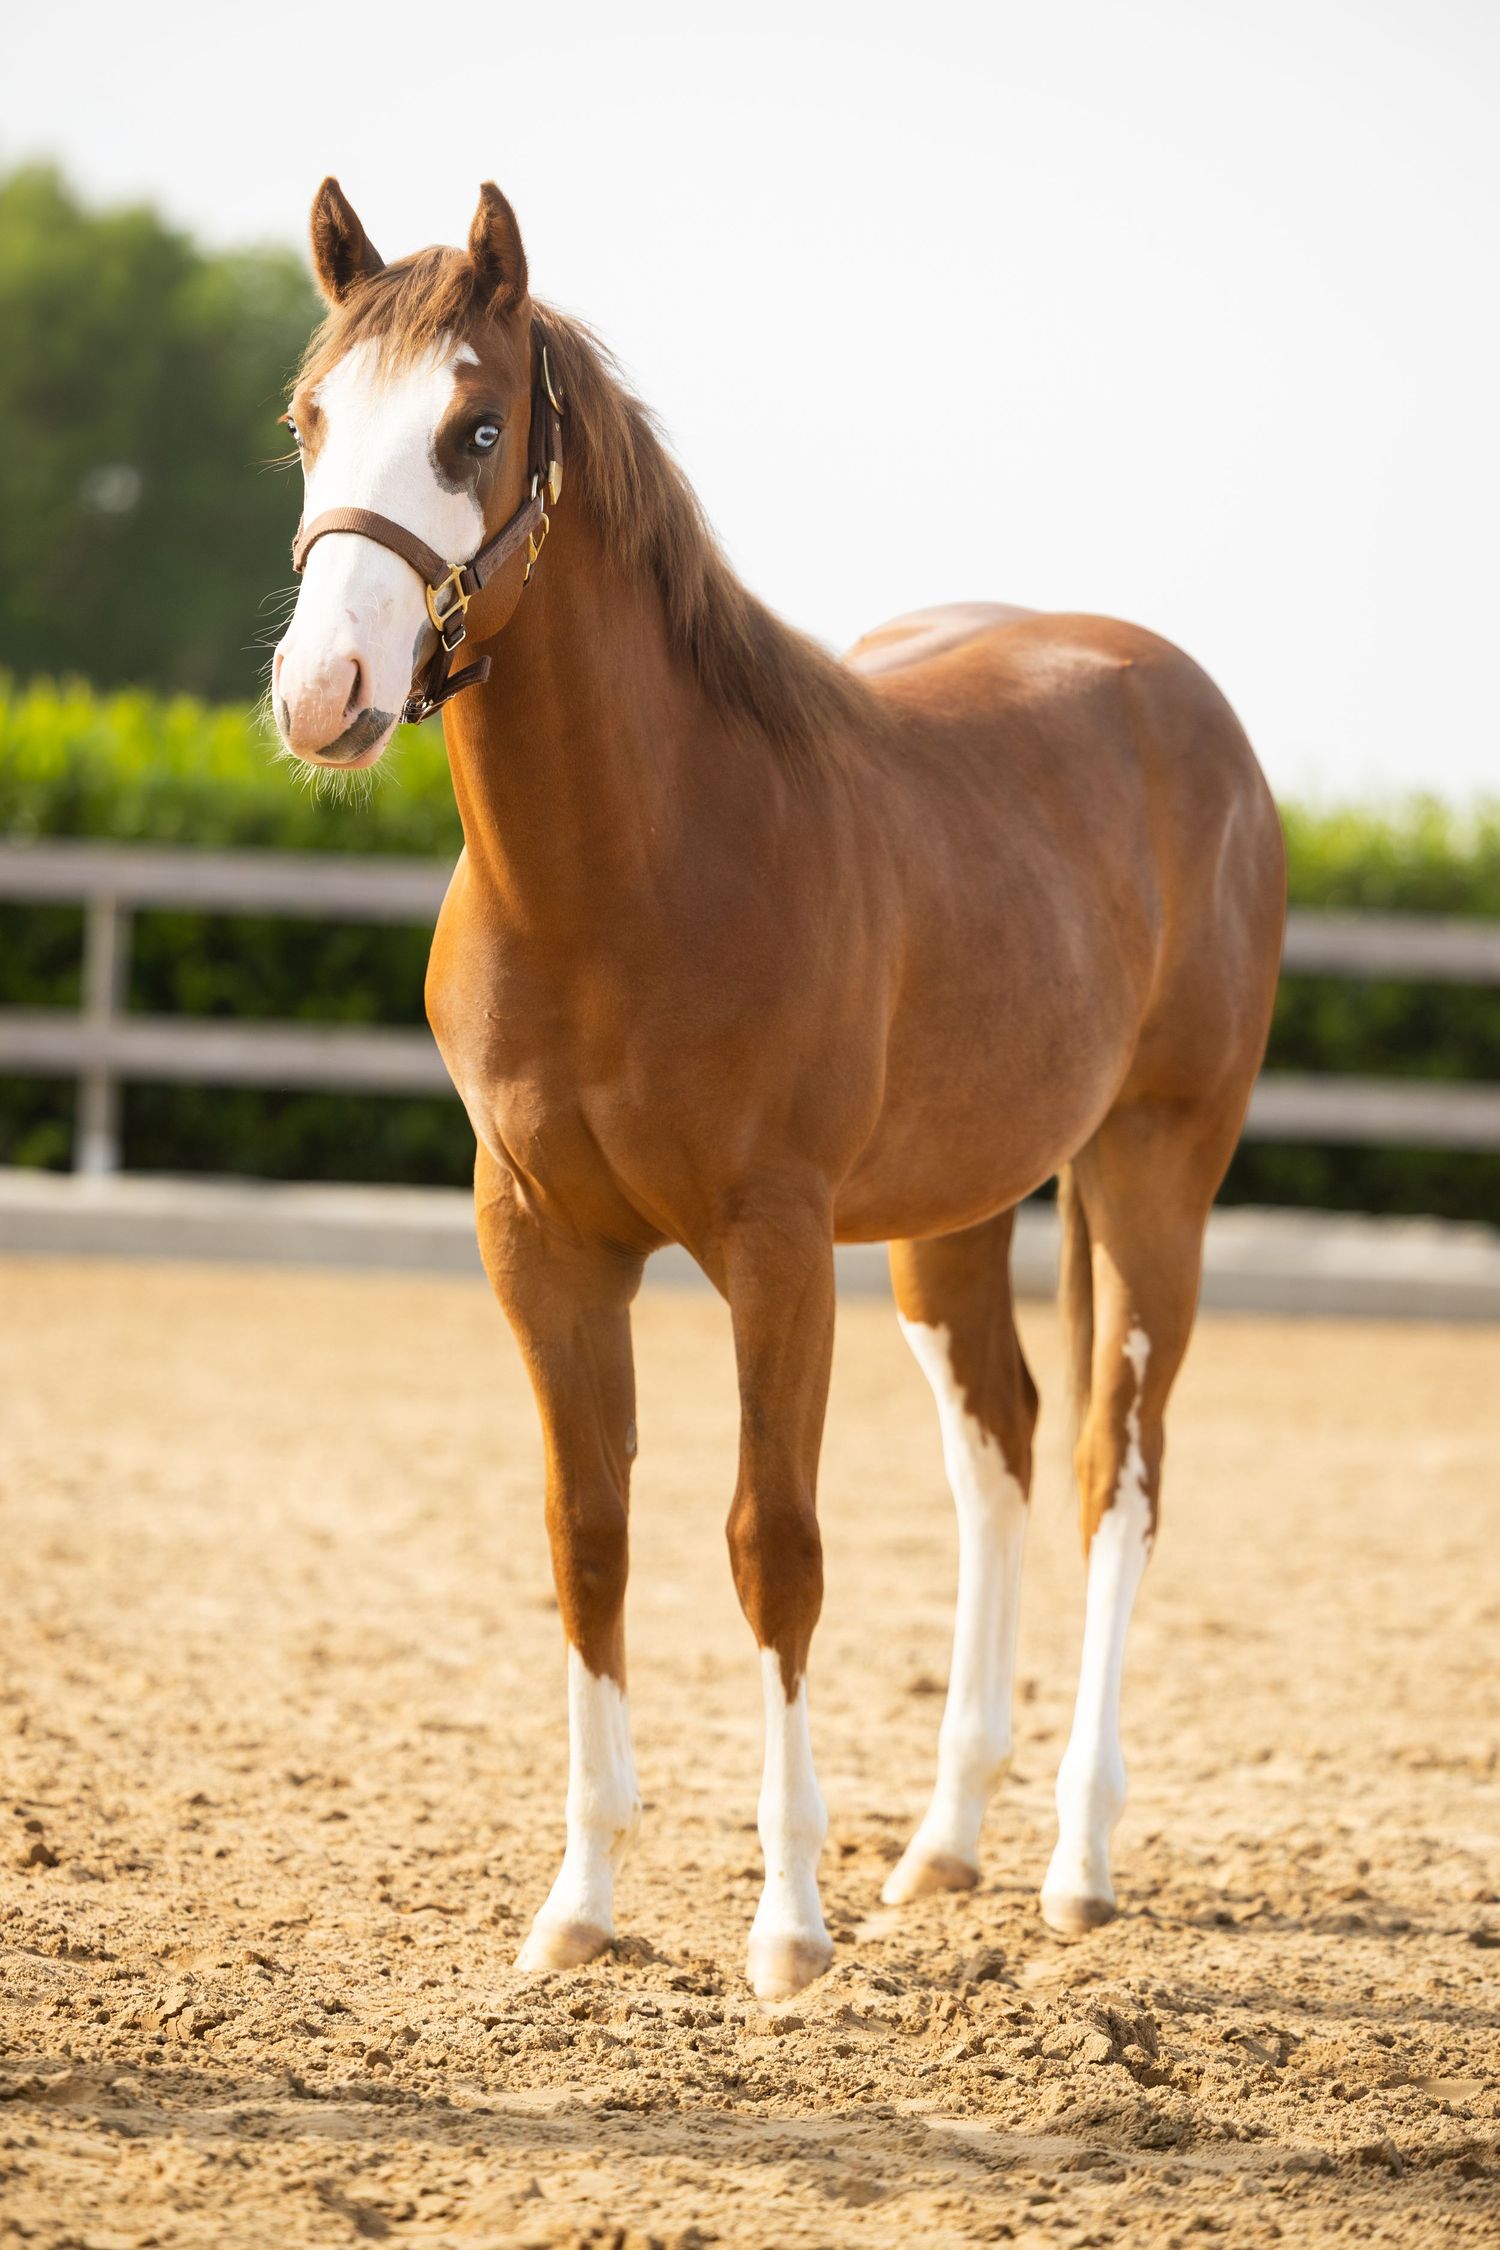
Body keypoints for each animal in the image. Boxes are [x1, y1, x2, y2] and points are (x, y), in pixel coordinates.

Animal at [271, 178, 1285, 2001]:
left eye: (474, 428)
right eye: (310, 419)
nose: (326, 697)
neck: (630, 872)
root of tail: (1185, 705)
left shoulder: (773, 1244)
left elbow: (773, 1544)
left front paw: (788, 1925)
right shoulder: (539, 1242)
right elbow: (587, 1533)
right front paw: (580, 1904)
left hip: (1151, 1174)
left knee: (1118, 1468)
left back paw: (1076, 1862)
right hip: (955, 1219)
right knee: (1001, 1445)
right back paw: (946, 1842)